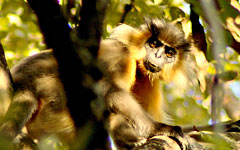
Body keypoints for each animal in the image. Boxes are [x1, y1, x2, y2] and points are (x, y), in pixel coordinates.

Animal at [0, 18, 201, 149]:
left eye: (169, 53)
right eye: (153, 44)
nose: (158, 56)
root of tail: (21, 84)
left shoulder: (149, 81)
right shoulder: (121, 57)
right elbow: (110, 91)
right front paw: (162, 129)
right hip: (52, 95)